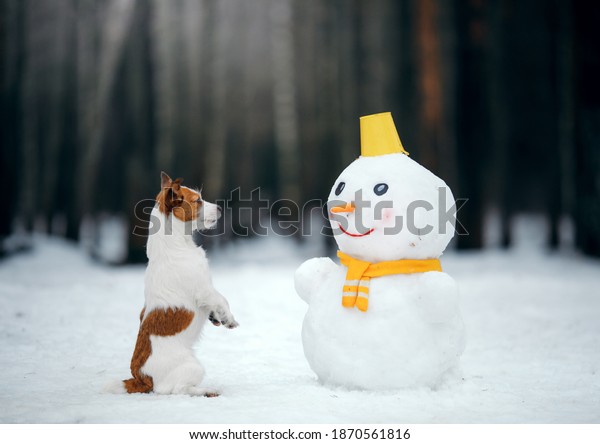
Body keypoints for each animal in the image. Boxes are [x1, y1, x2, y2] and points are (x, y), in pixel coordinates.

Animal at [115, 173, 237, 396]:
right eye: (197, 200)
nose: (220, 208)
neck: (174, 247)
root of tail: (142, 379)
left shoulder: (206, 295)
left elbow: (215, 306)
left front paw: (216, 318)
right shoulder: (205, 289)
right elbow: (223, 300)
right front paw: (229, 319)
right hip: (193, 366)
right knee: (179, 390)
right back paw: (207, 390)